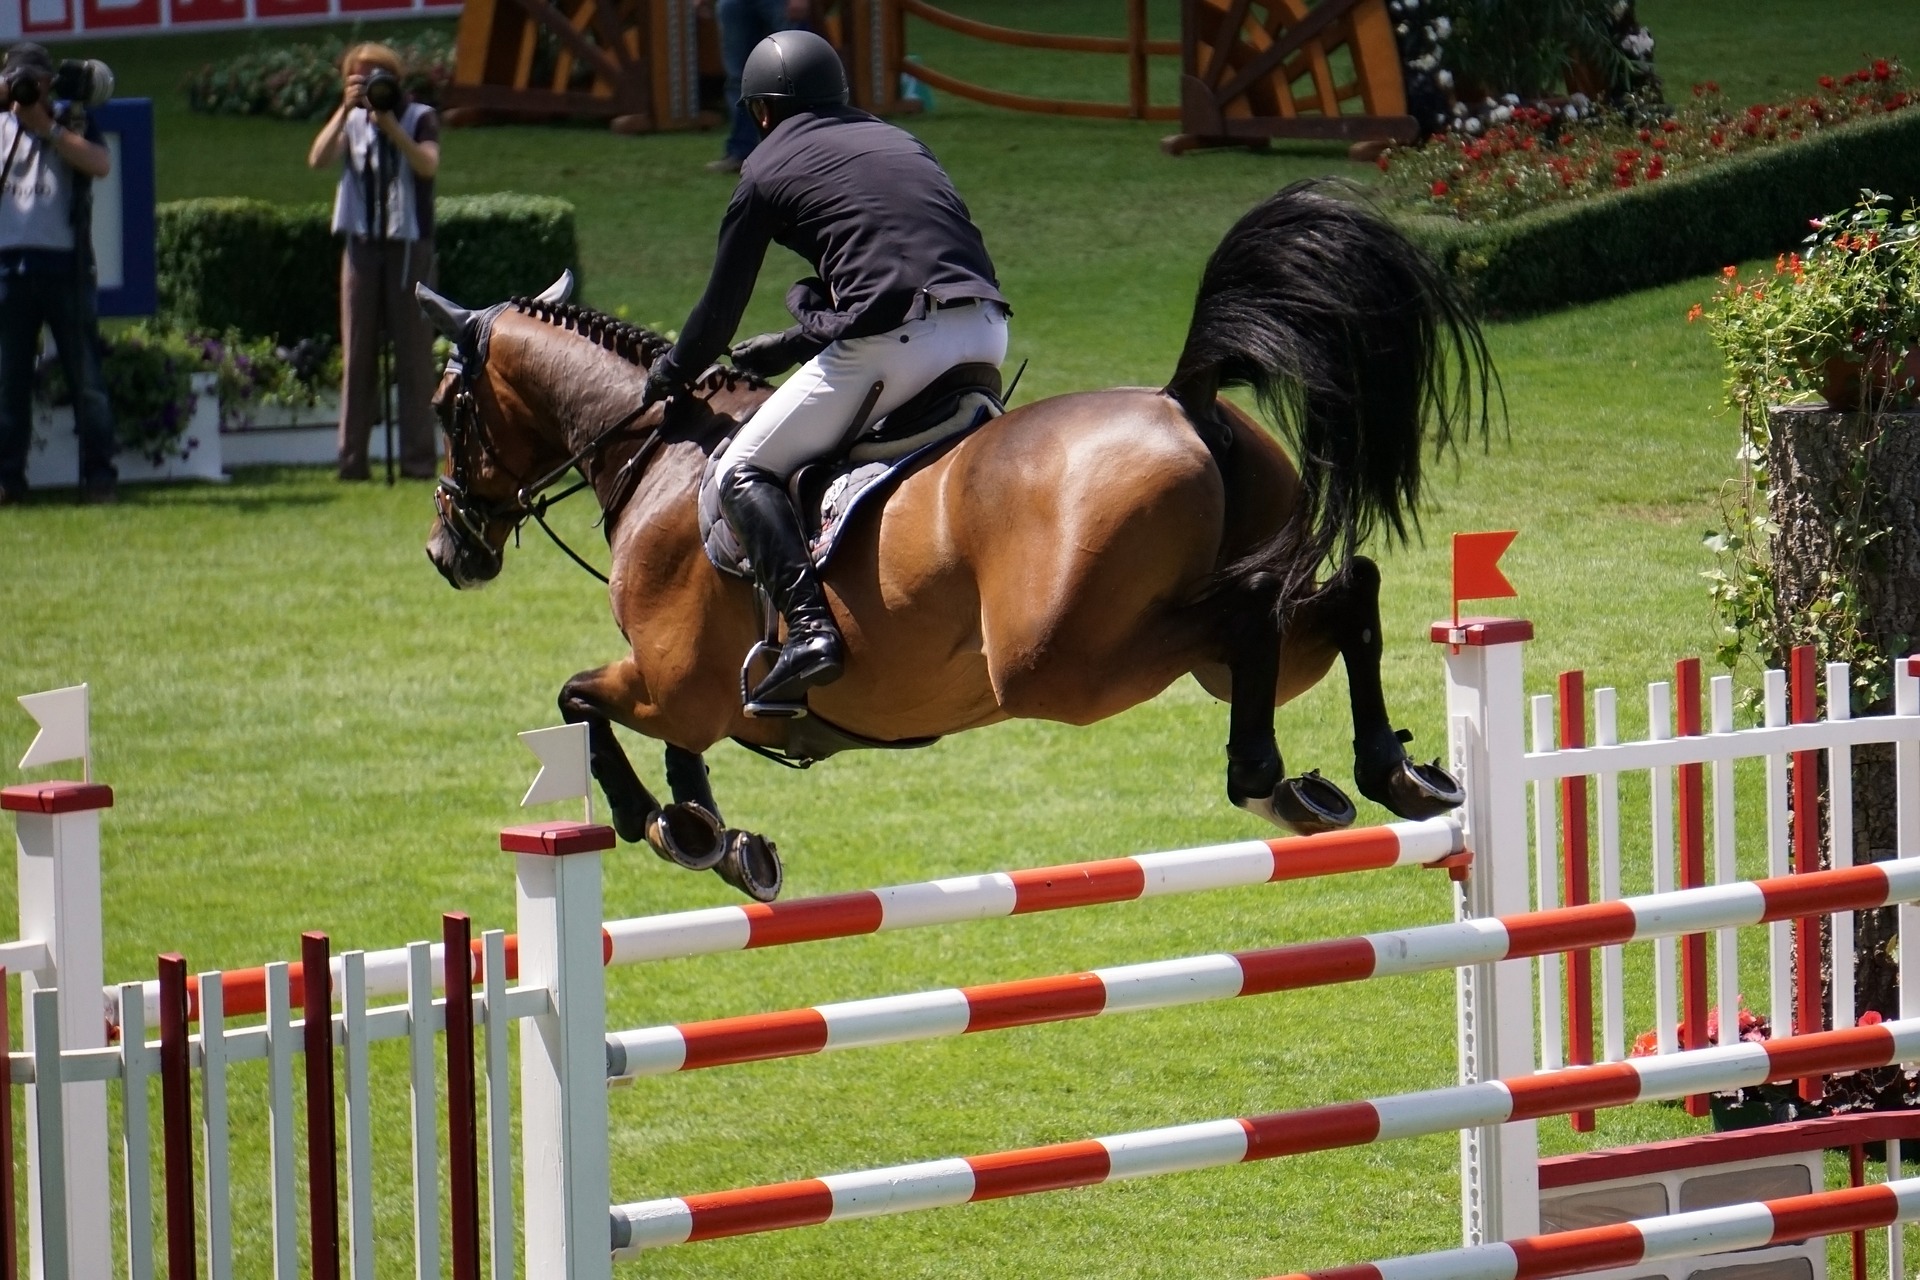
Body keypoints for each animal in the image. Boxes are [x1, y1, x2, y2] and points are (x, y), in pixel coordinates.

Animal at [418, 181, 1495, 901]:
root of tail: (1185, 401)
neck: (660, 455)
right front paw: (717, 835)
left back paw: (1268, 780)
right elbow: (667, 741)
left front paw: (671, 828)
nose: (447, 552)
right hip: (1213, 645)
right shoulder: (689, 692)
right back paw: (1388, 772)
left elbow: (580, 702)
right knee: (1334, 598)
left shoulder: (674, 680)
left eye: (446, 406)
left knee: (1247, 617)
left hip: (1065, 666)